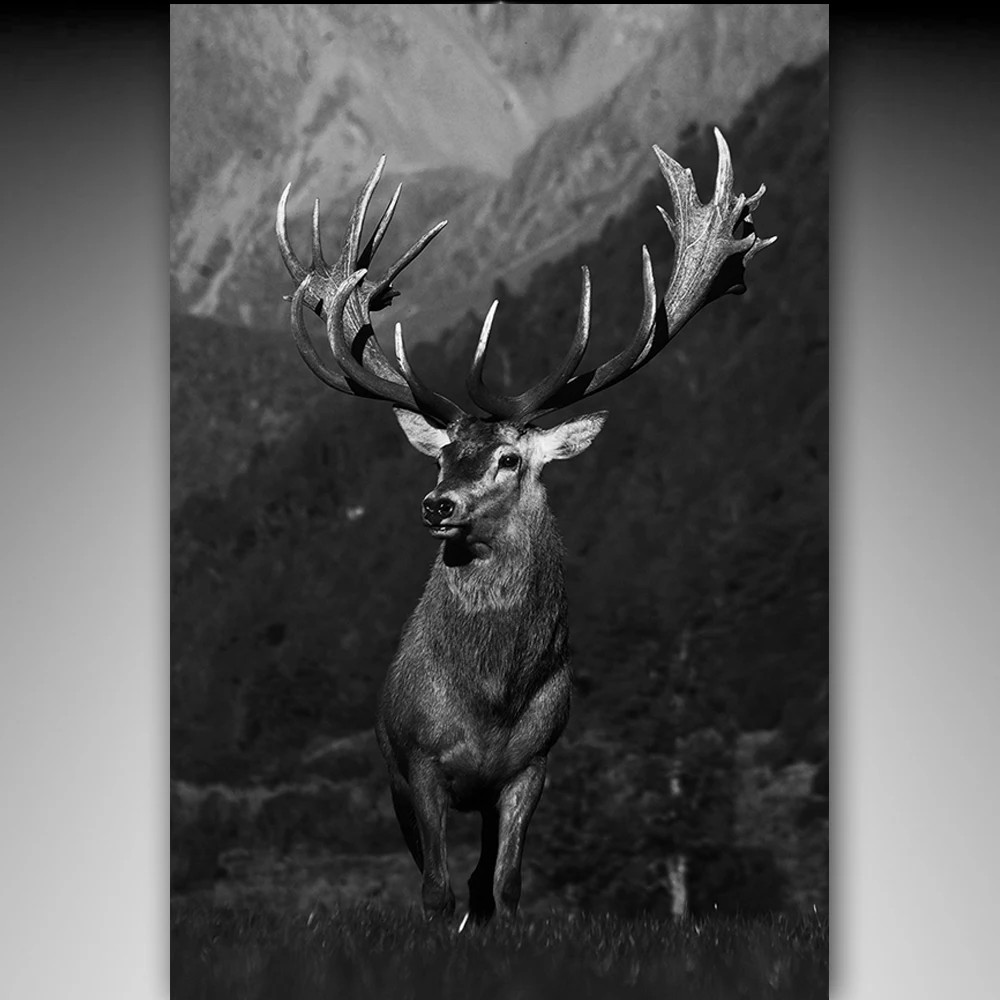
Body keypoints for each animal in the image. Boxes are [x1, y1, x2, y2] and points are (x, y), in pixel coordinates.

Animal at [274, 128, 775, 925]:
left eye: (510, 458)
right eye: (444, 453)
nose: (437, 505)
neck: (492, 701)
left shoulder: (533, 765)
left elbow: (504, 889)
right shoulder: (416, 761)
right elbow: (436, 888)